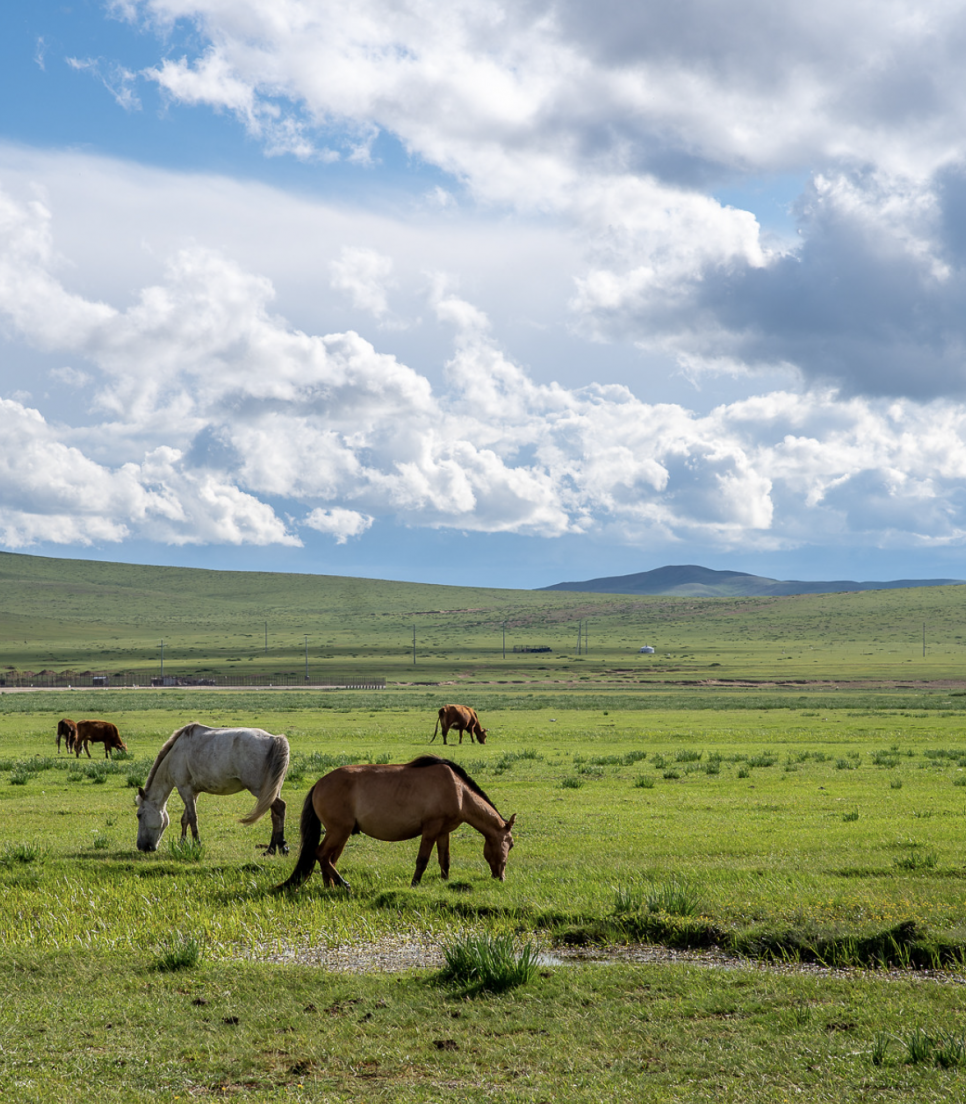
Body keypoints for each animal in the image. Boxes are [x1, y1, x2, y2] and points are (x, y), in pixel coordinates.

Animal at [135, 724, 289, 852]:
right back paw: (272, 849)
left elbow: (192, 818)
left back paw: (280, 846)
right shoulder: (193, 792)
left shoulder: (184, 789)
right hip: (272, 790)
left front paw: (197, 845)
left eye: (139, 815)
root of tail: (274, 739)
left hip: (260, 789)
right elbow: (185, 818)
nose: (141, 846)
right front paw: (182, 844)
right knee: (275, 814)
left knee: (280, 807)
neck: (175, 753)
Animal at [276, 755, 516, 892]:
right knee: (322, 855)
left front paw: (445, 881)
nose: (501, 877)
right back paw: (343, 884)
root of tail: (319, 783)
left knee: (328, 858)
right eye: (511, 844)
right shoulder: (430, 829)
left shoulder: (443, 832)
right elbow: (422, 859)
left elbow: (444, 859)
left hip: (339, 833)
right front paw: (415, 884)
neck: (459, 790)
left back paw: (330, 887)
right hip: (339, 831)